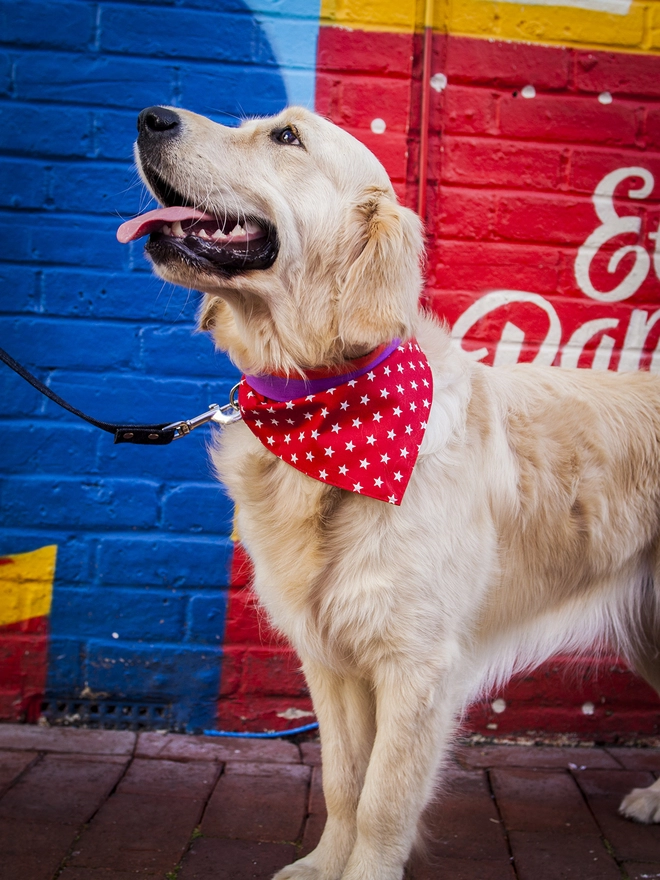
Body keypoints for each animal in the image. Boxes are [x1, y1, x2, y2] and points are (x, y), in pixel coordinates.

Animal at [117, 105, 660, 880]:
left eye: (287, 136)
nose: (149, 116)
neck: (324, 407)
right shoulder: (330, 659)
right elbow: (344, 783)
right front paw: (322, 866)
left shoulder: (417, 665)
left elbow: (383, 800)